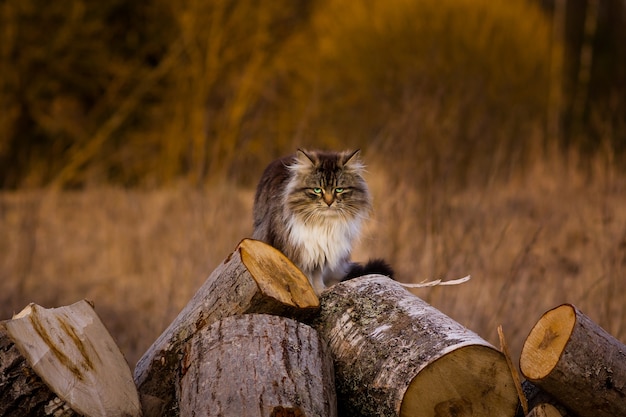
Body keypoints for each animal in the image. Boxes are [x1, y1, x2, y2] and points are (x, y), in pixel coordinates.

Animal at [250, 149, 390, 292]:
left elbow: (317, 275)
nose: (329, 202)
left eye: (339, 189)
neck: (324, 224)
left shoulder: (322, 253)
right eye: (317, 190)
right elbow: (302, 276)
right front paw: (308, 291)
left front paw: (319, 291)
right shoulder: (298, 251)